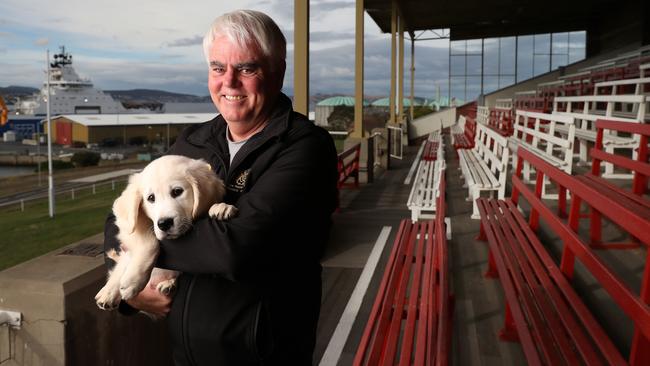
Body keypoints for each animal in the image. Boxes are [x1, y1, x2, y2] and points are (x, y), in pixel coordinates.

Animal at [95, 154, 237, 312]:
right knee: (120, 268)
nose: (164, 224)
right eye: (151, 198)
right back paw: (108, 293)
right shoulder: (130, 227)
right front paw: (133, 281)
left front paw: (221, 207)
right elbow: (150, 243)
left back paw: (169, 284)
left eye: (177, 191)